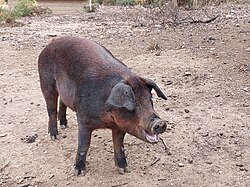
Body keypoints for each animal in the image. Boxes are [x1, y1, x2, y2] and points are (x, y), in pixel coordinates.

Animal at [38, 37, 167, 175]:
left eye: (150, 100)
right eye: (133, 104)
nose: (160, 123)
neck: (107, 119)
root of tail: (50, 44)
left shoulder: (119, 126)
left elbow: (119, 145)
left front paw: (124, 170)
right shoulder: (83, 120)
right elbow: (83, 144)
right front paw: (78, 172)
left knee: (62, 102)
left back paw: (64, 125)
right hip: (46, 82)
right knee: (51, 109)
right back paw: (54, 136)